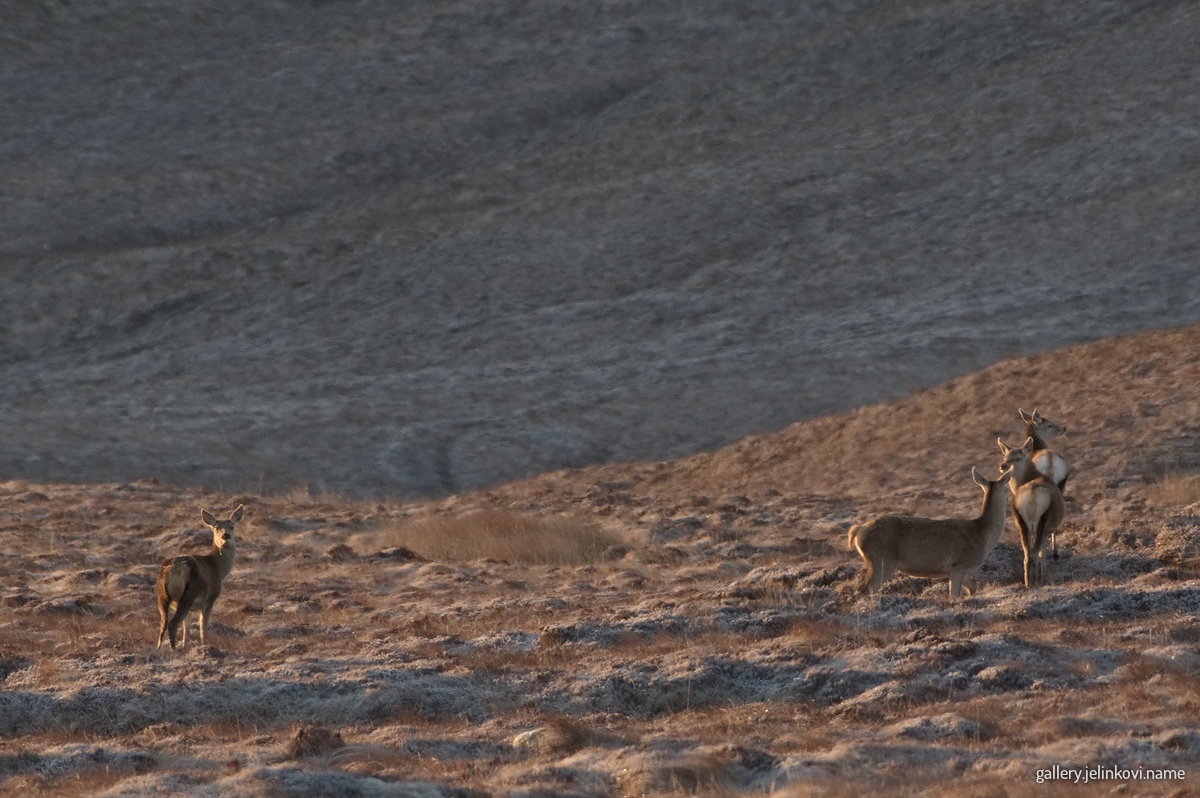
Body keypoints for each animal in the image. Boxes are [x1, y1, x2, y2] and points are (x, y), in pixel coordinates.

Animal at [156, 505, 243, 650]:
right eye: (216, 527)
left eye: (232, 526)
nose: (226, 536)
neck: (218, 569)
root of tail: (174, 569)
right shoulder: (209, 599)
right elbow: (203, 629)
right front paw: (204, 645)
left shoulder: (192, 609)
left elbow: (187, 632)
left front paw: (186, 646)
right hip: (188, 595)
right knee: (173, 624)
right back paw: (174, 649)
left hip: (162, 597)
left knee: (163, 625)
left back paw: (158, 649)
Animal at [847, 465, 1014, 599]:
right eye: (1006, 488)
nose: (1009, 500)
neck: (982, 534)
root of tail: (859, 530)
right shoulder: (958, 565)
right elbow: (954, 595)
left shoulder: (960, 571)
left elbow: (972, 590)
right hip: (880, 561)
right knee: (862, 592)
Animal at [997, 438, 1065, 585]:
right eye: (1005, 457)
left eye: (1018, 458)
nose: (1003, 466)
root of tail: (1032, 497)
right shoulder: (1046, 530)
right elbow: (1042, 554)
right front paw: (1044, 575)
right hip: (1042, 523)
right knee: (1034, 554)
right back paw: (1037, 581)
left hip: (1023, 524)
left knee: (1027, 555)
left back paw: (1028, 583)